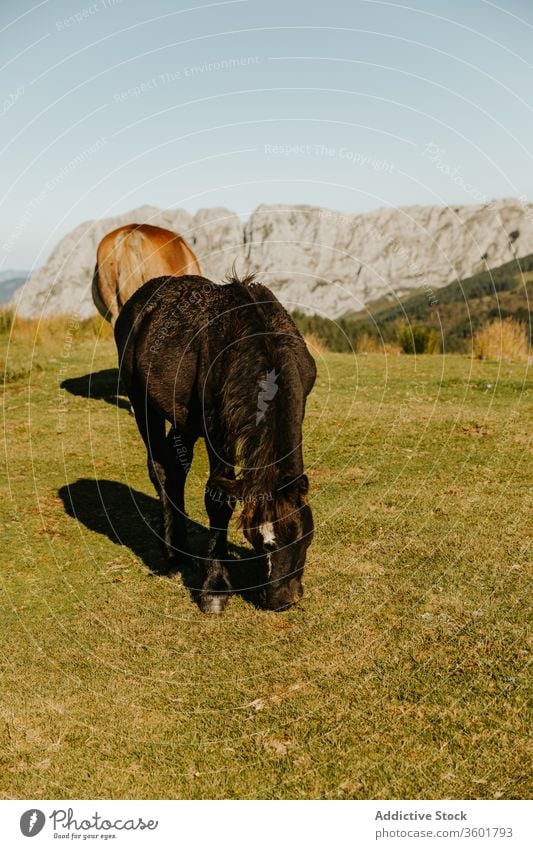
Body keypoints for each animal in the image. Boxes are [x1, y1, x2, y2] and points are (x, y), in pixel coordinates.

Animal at [115, 274, 316, 612]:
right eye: (260, 542)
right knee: (160, 467)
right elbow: (219, 500)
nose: (281, 600)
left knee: (175, 469)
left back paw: (183, 552)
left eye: (301, 536)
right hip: (141, 402)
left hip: (184, 418)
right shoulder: (216, 428)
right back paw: (173, 558)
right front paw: (215, 587)